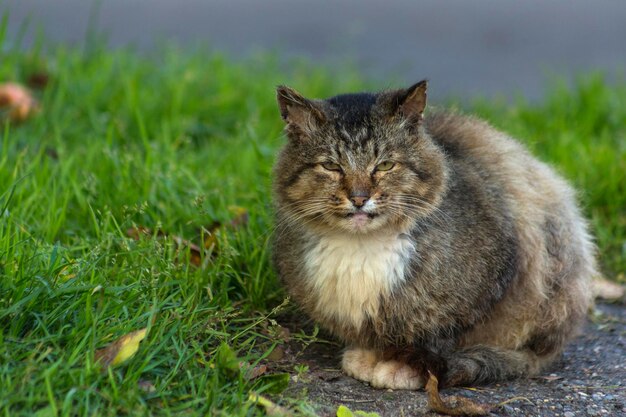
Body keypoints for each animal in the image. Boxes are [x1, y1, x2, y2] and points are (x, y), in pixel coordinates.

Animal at [270, 80, 592, 386]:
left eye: (385, 165)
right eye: (330, 166)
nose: (359, 198)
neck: (361, 247)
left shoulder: (486, 291)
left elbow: (436, 340)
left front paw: (403, 366)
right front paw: (371, 355)